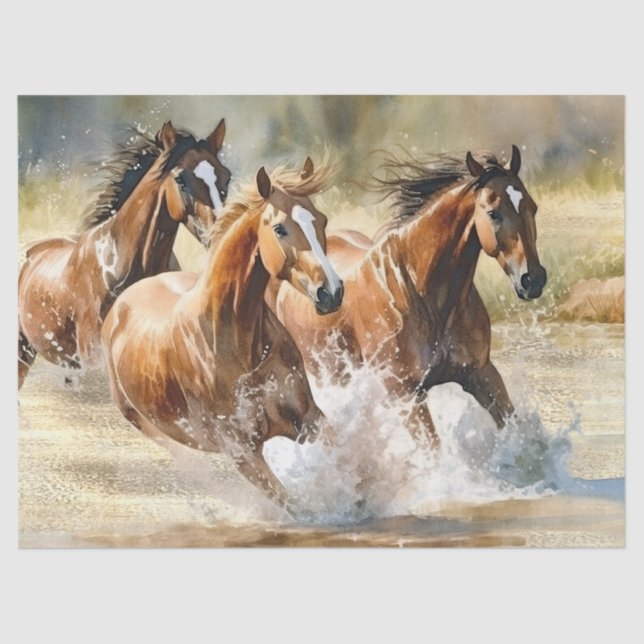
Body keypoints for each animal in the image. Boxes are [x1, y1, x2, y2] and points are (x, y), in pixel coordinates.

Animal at [100, 156, 344, 507]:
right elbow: (294, 507)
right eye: (280, 228)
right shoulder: (242, 452)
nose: (332, 292)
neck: (239, 346)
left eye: (321, 221)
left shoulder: (310, 419)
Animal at [266, 145, 547, 447]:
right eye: (493, 213)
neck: (421, 293)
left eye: (532, 207)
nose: (533, 279)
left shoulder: (482, 373)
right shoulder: (404, 395)